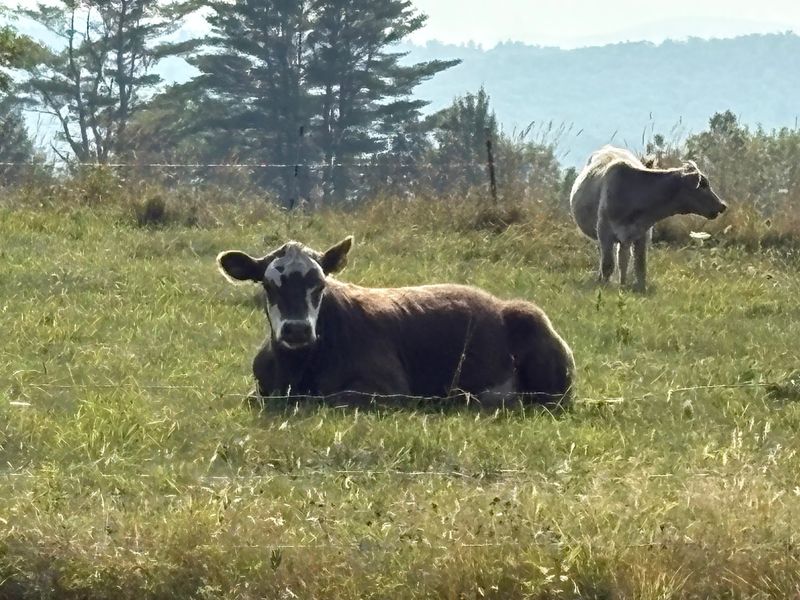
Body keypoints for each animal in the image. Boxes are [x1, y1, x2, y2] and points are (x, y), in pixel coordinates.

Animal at [217, 236, 575, 408]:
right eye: (268, 285)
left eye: (319, 284)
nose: (297, 329)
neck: (297, 373)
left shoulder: (389, 389)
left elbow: (330, 400)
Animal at [570, 145, 727, 292]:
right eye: (703, 185)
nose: (722, 205)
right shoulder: (604, 232)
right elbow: (607, 265)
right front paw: (604, 287)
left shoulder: (643, 234)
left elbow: (640, 266)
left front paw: (640, 289)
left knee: (623, 260)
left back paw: (622, 284)